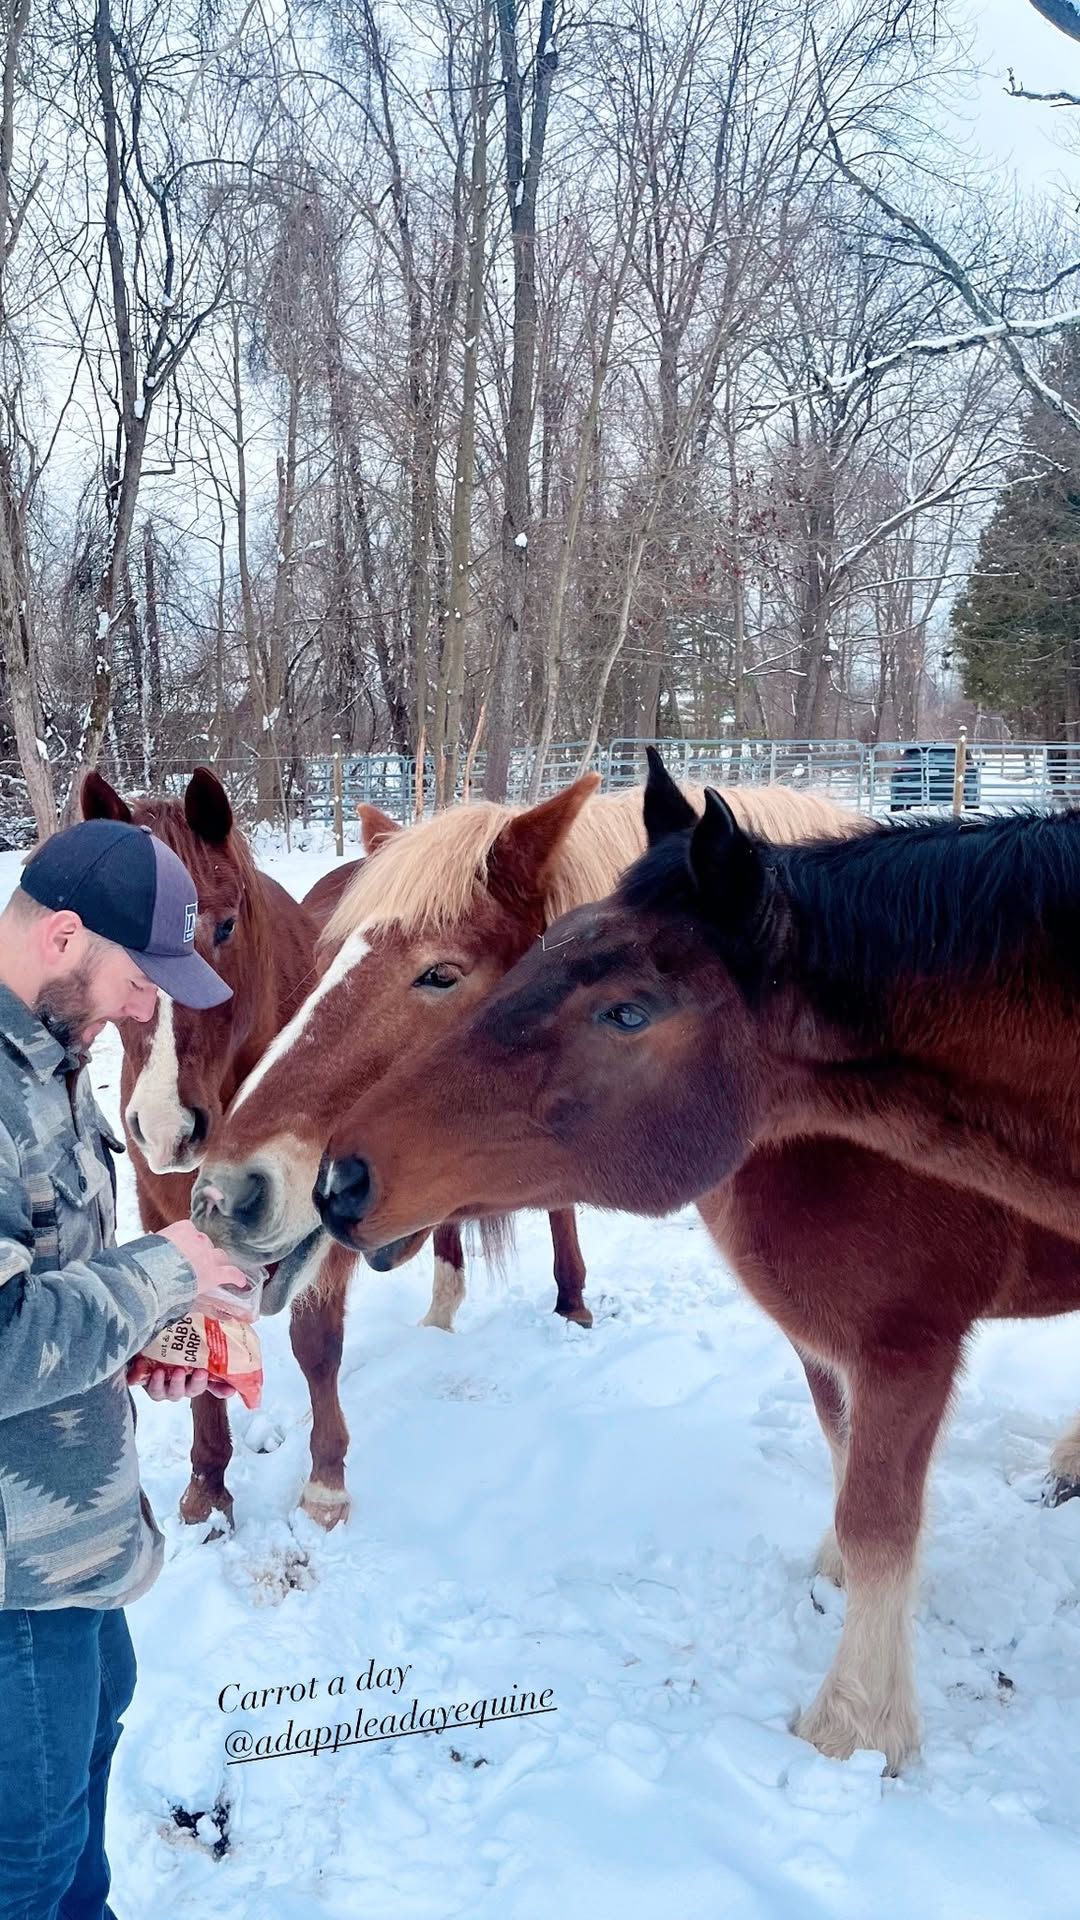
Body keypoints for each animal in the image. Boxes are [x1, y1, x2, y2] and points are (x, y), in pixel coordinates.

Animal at [299, 752, 1076, 1766]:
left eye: (628, 1013)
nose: (338, 1180)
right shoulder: (825, 1339)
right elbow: (843, 1457)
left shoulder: (910, 1346)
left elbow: (877, 1518)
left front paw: (855, 1728)